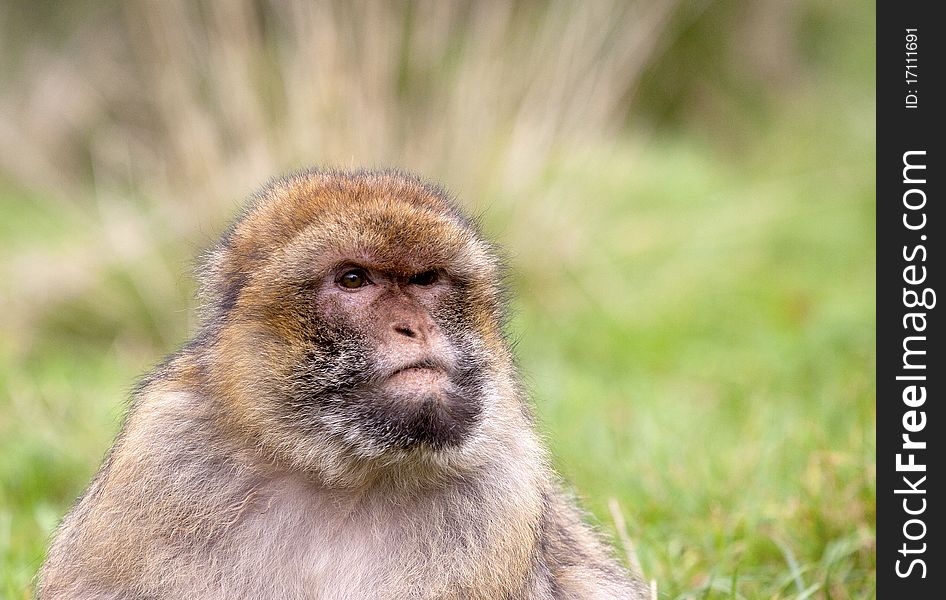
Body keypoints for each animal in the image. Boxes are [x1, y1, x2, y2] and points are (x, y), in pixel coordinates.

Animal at [37, 170, 648, 600]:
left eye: (425, 280)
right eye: (354, 279)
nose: (414, 326)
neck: (341, 473)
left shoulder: (498, 495)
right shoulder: (161, 460)